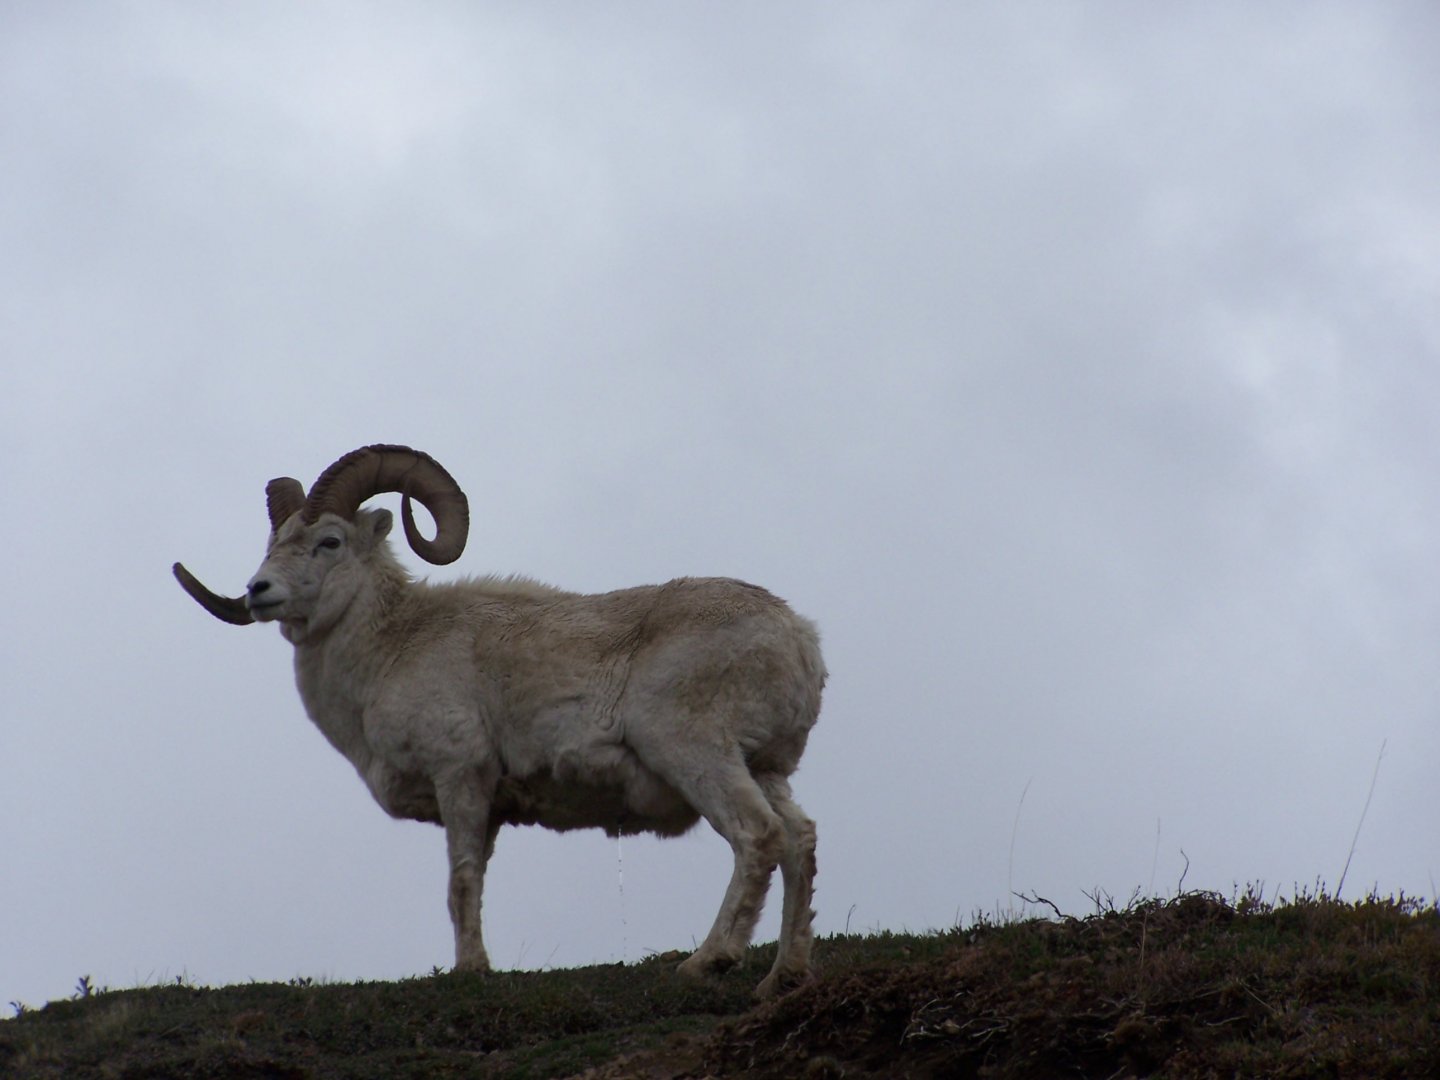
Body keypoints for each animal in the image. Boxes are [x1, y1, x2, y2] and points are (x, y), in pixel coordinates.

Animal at [173, 444, 825, 998]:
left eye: (329, 541)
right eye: (275, 541)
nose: (259, 591)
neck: (389, 650)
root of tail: (799, 639)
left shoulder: (460, 775)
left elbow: (460, 882)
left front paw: (470, 970)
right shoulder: (489, 807)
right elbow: (474, 884)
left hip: (694, 753)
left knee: (758, 835)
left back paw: (707, 962)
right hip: (765, 767)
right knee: (799, 840)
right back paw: (783, 978)